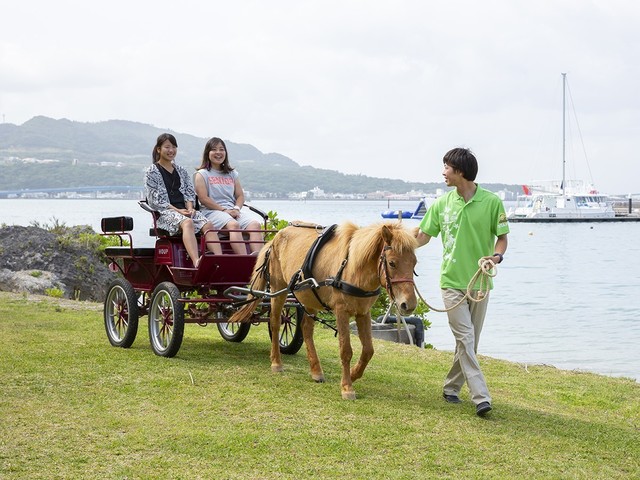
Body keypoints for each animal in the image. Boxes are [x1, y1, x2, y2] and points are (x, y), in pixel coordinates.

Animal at [230, 220, 420, 398]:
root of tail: (275, 237)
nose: (409, 304)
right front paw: (347, 387)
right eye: (392, 263)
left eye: (414, 263)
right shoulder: (342, 312)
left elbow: (368, 350)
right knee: (275, 323)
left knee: (306, 329)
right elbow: (346, 350)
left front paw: (353, 374)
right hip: (278, 288)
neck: (352, 267)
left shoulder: (363, 313)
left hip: (309, 297)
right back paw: (277, 362)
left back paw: (316, 370)